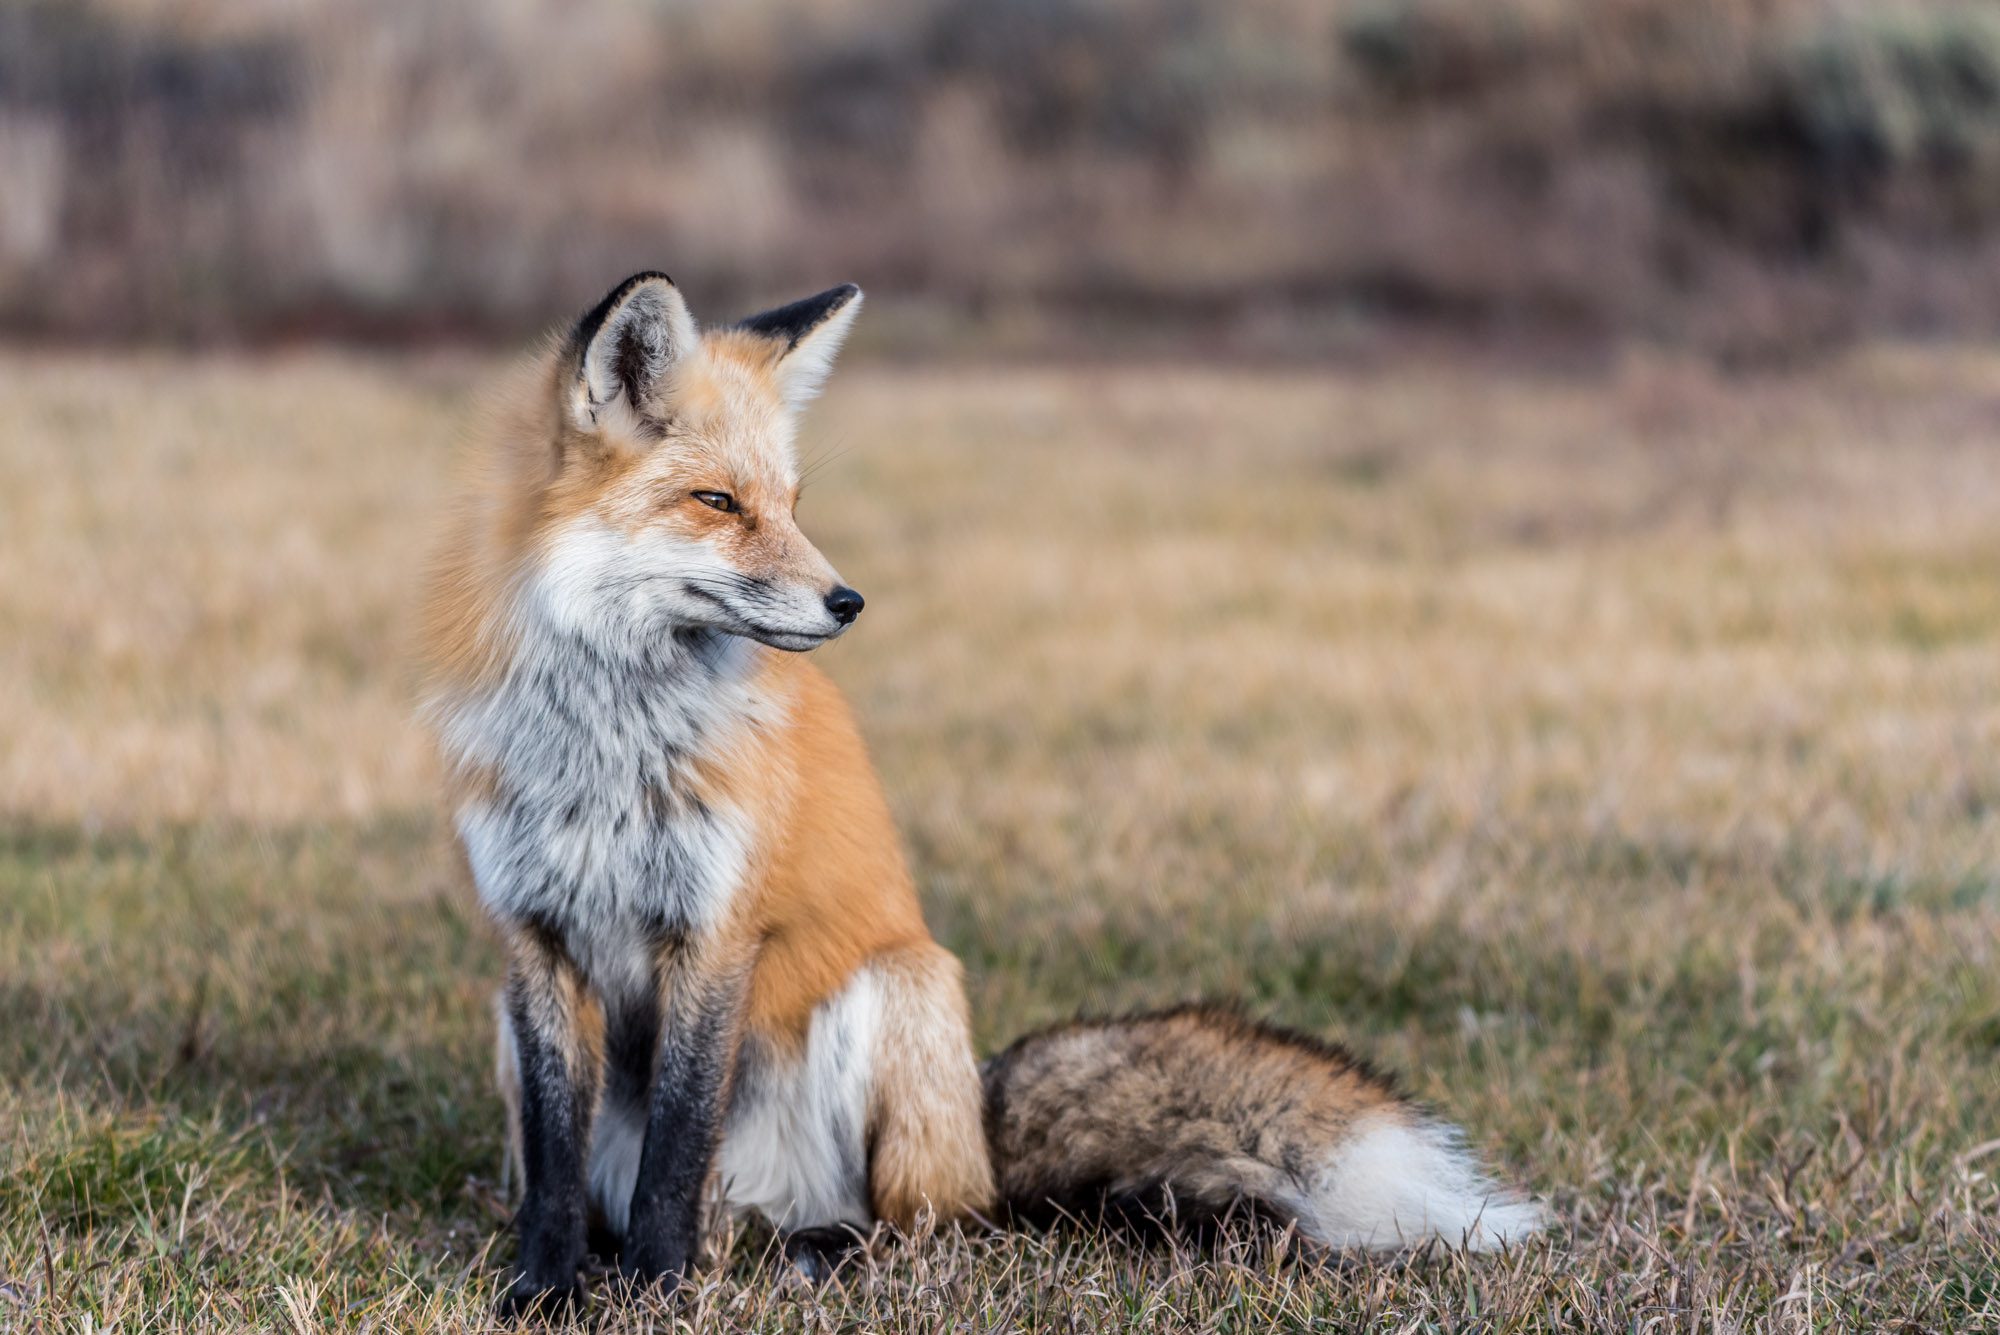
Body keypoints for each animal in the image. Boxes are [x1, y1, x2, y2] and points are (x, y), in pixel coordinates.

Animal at [419, 271, 1544, 1316]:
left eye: (792, 504)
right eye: (716, 502)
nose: (847, 601)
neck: (607, 744)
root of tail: (982, 1129)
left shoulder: (714, 932)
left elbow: (675, 1153)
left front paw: (653, 1293)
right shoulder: (533, 942)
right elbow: (557, 1170)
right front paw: (543, 1291)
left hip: (897, 993)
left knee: (926, 1224)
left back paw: (818, 1251)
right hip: (509, 1025)